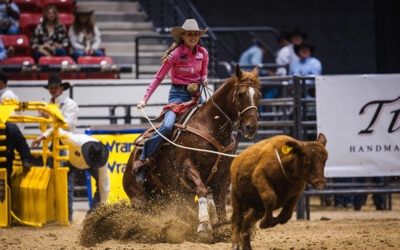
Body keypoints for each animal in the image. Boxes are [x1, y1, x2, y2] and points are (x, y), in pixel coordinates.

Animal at [123, 65, 260, 238]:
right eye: (241, 94)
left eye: (259, 95)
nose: (251, 127)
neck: (210, 126)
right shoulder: (186, 167)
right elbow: (201, 189)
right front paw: (204, 226)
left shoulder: (223, 175)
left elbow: (220, 200)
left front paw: (223, 227)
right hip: (138, 198)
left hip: (171, 196)